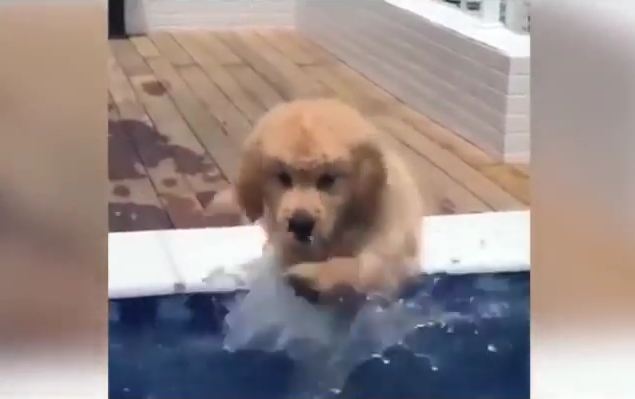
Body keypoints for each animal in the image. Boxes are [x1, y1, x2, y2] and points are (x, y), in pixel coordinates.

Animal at [236, 99, 424, 298]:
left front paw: (308, 275)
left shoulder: (390, 250)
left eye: (328, 179)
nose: (300, 224)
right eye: (283, 177)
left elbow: (362, 269)